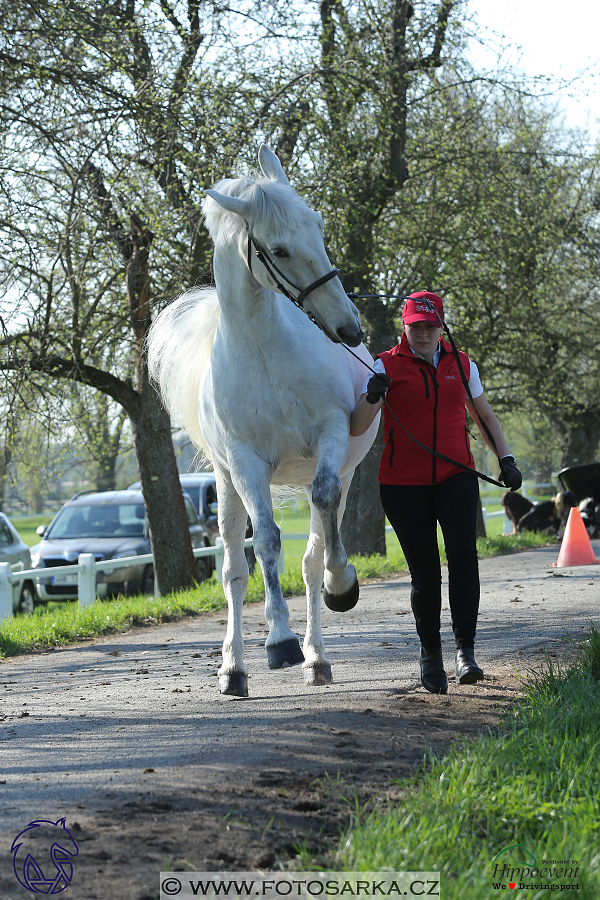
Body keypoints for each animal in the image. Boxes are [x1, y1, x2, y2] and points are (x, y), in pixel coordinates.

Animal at [148, 146, 378, 696]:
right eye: (279, 249)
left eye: (318, 226)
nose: (348, 328)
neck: (266, 351)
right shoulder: (247, 464)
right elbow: (267, 542)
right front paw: (278, 640)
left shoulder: (331, 439)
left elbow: (319, 527)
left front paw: (342, 585)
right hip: (227, 483)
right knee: (234, 569)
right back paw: (234, 669)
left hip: (341, 469)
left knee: (314, 553)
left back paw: (318, 658)